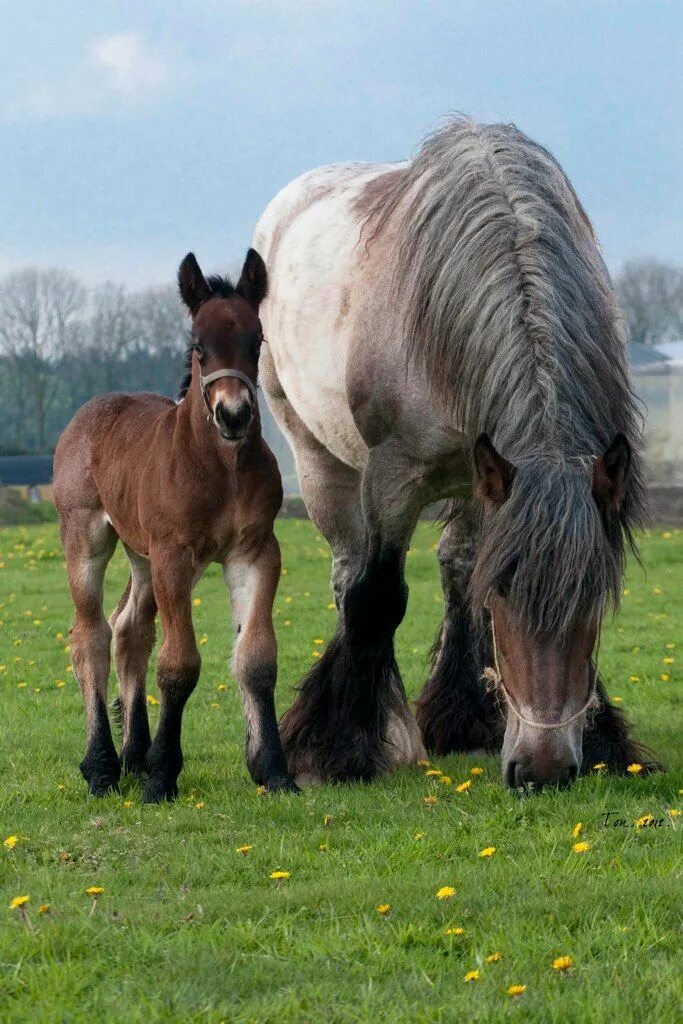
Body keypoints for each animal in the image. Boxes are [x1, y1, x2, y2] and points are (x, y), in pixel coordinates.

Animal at [53, 247, 296, 798]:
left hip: (141, 554)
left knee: (129, 631)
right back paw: (102, 766)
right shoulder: (173, 554)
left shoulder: (255, 551)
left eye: (256, 342)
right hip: (87, 538)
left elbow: (257, 658)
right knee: (91, 636)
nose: (234, 415)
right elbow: (179, 663)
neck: (221, 469)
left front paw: (273, 768)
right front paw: (163, 774)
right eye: (198, 346)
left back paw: (132, 755)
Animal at [254, 119, 655, 790]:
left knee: (455, 565)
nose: (544, 769)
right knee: (347, 574)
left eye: (592, 594)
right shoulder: (392, 477)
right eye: (508, 590)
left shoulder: (491, 476)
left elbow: (470, 580)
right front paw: (336, 749)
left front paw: (596, 735)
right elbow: (377, 596)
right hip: (318, 461)